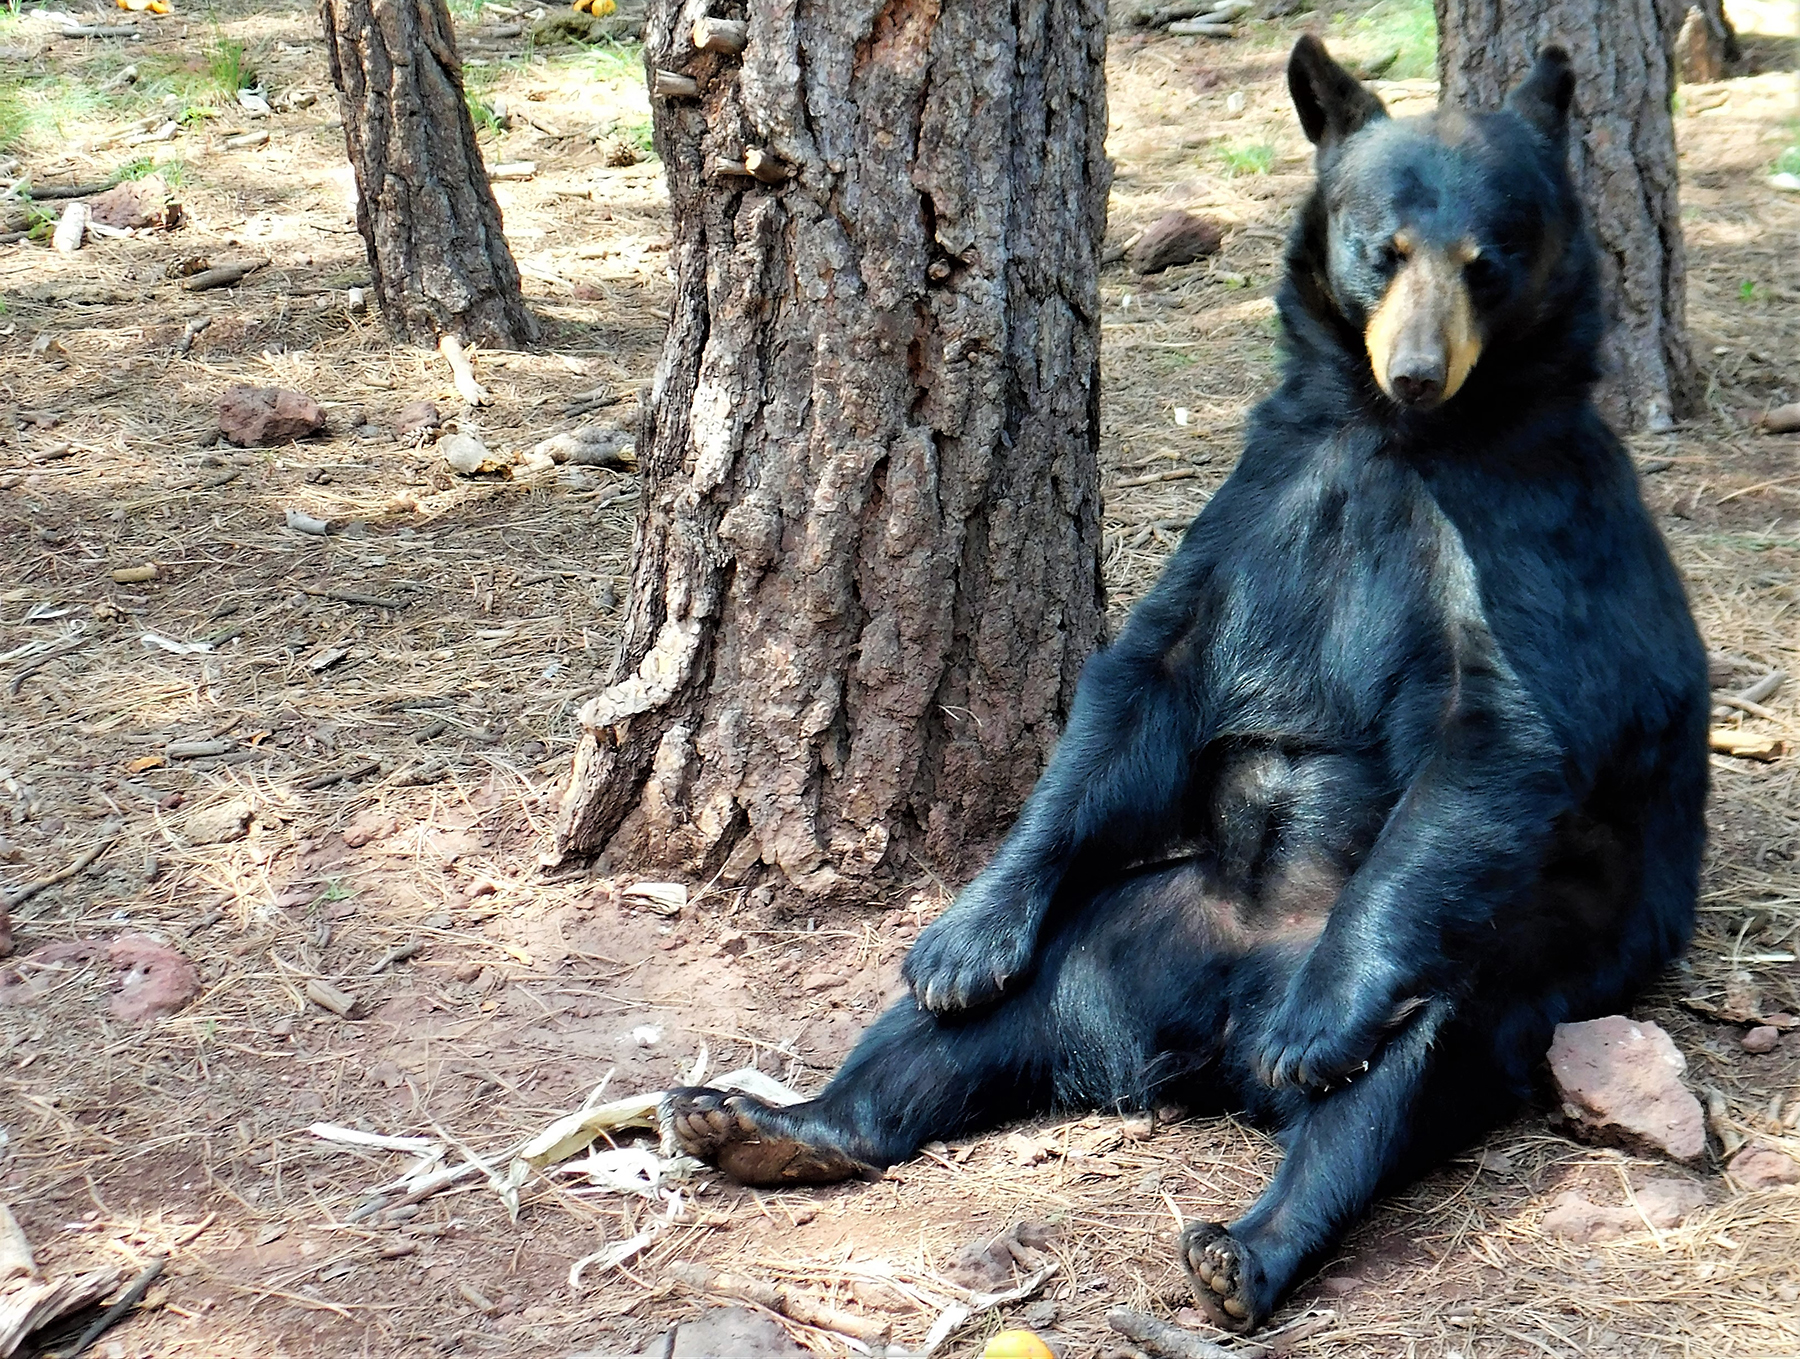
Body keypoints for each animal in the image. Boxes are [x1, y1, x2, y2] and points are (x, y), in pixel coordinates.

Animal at [661, 36, 1709, 1334]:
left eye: (1489, 261)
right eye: (1383, 250)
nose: (1418, 372)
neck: (1391, 442)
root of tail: (1216, 1028)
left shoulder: (1529, 537)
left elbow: (1503, 733)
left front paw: (1320, 1031)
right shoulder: (1259, 501)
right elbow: (1136, 689)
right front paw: (961, 935)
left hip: (1507, 955)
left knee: (1410, 1063)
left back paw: (1247, 1237)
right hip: (1120, 931)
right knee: (961, 1027)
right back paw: (774, 1119)